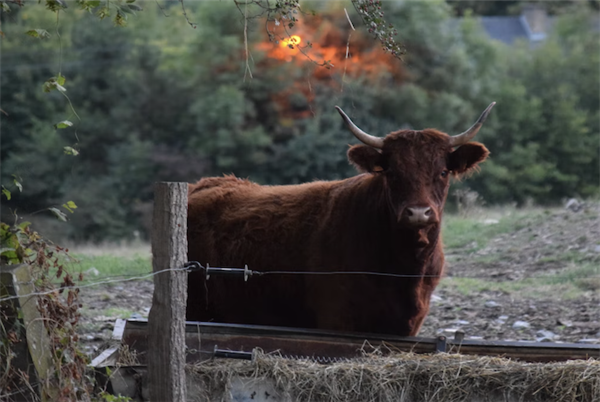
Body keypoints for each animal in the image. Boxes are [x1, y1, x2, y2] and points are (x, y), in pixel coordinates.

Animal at [186, 103, 492, 336]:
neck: (404, 269)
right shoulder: (337, 317)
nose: (418, 212)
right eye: (392, 172)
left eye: (443, 172)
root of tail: (203, 184)